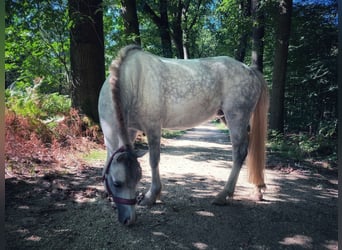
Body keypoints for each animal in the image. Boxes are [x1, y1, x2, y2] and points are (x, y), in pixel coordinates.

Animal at [99, 45, 270, 227]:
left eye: (137, 179)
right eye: (117, 183)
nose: (129, 220)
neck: (133, 80)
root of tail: (250, 71)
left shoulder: (153, 128)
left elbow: (154, 160)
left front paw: (151, 196)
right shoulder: (130, 130)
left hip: (236, 117)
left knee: (239, 153)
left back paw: (223, 195)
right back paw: (257, 190)